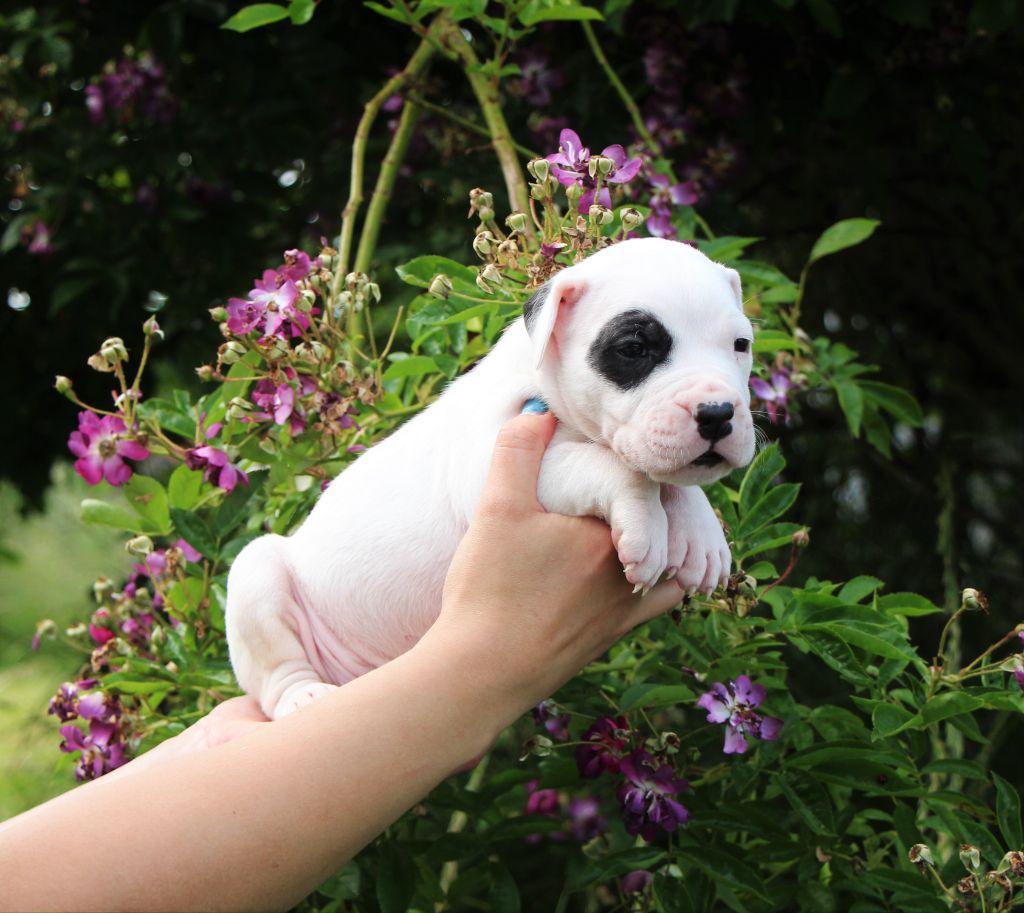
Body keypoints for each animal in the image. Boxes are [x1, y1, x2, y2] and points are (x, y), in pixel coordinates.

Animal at [226, 237, 756, 719]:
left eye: (741, 346)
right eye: (635, 348)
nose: (717, 412)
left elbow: (665, 475)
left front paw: (702, 535)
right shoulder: (495, 464)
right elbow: (616, 468)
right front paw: (647, 523)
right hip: (256, 578)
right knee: (275, 676)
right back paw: (304, 697)